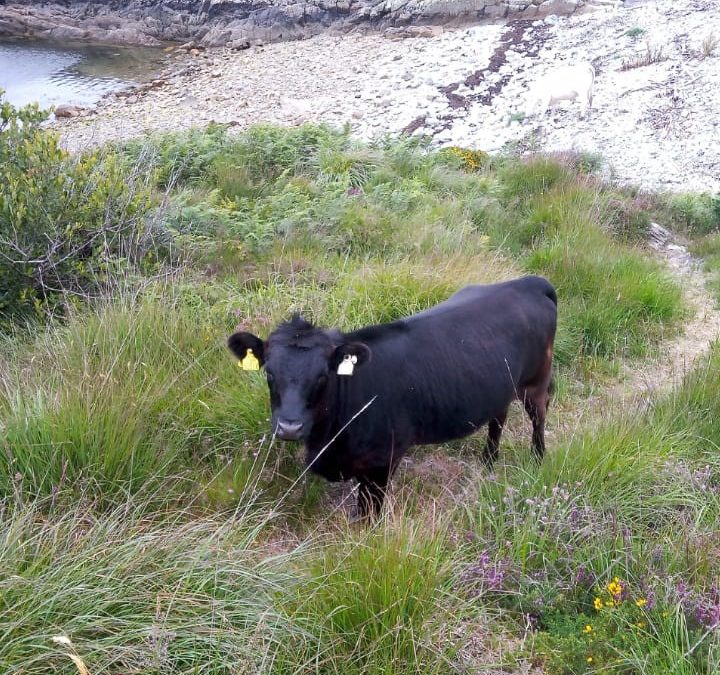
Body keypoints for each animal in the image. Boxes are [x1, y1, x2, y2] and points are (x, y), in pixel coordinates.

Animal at [229, 274, 556, 516]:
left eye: (323, 376)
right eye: (270, 373)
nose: (289, 427)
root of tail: (528, 281)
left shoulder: (382, 462)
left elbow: (368, 515)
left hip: (536, 382)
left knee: (538, 417)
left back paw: (538, 460)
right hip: (502, 384)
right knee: (498, 418)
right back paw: (488, 462)